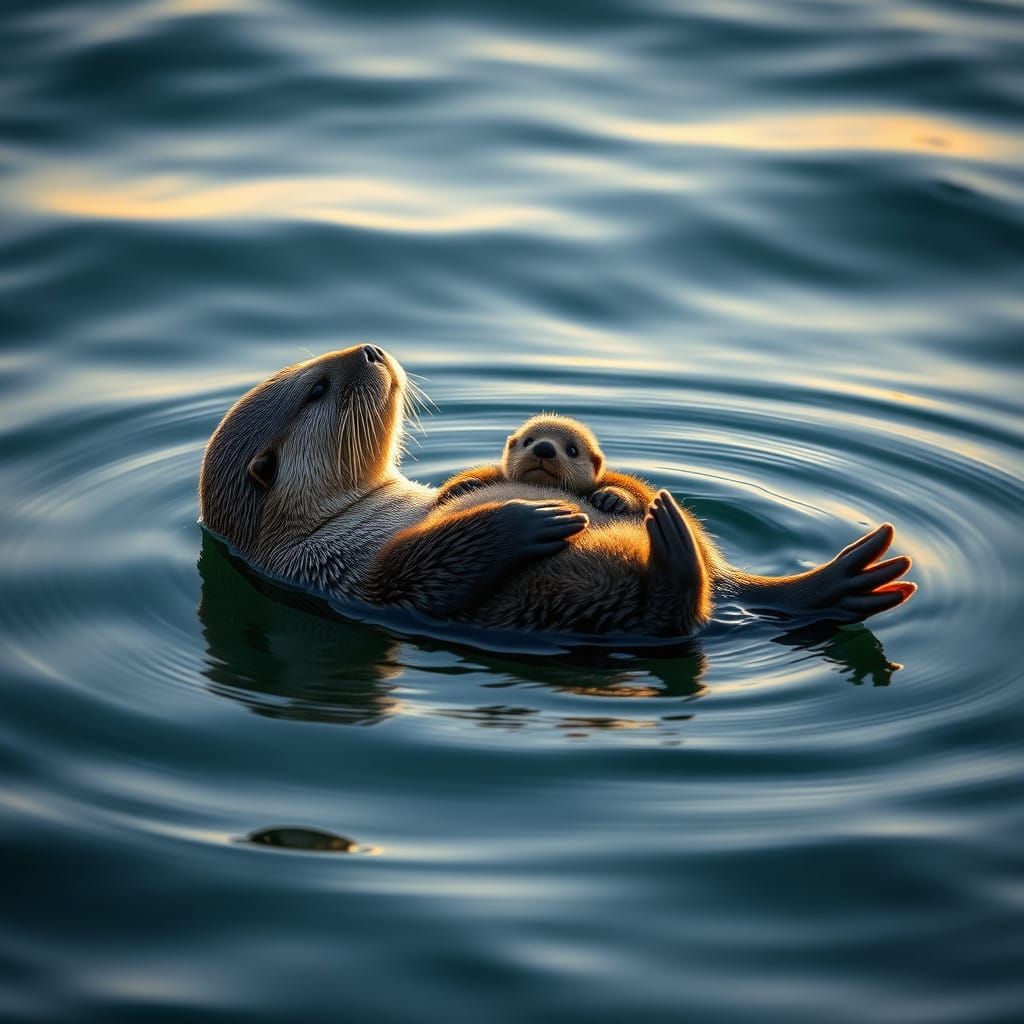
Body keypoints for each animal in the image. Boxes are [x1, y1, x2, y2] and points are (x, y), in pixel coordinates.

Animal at [437, 413, 654, 516]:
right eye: (528, 441)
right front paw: (464, 485)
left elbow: (643, 494)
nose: (544, 448)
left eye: (572, 450)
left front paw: (612, 497)